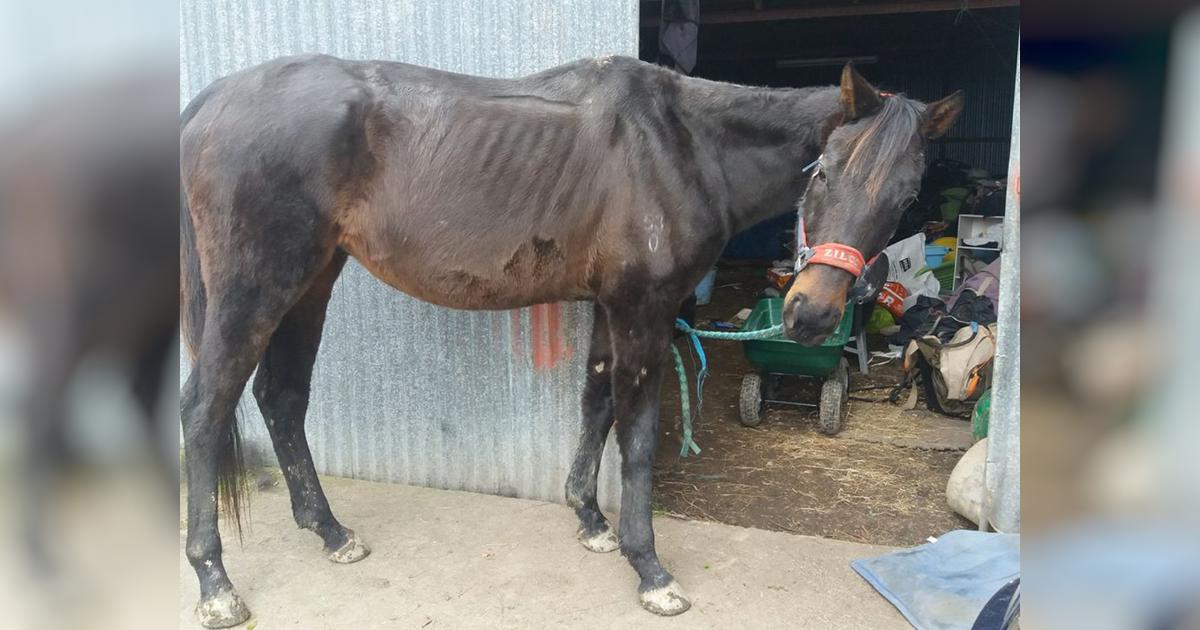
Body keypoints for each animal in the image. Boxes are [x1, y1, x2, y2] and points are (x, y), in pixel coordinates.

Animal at [180, 53, 962, 627]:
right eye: (824, 172)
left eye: (906, 197)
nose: (809, 318)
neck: (682, 145)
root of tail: (213, 100)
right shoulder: (645, 309)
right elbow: (638, 433)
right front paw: (649, 568)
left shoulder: (608, 307)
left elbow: (595, 403)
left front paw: (589, 519)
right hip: (258, 285)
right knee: (205, 408)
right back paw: (215, 583)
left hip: (312, 279)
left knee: (281, 396)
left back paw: (332, 533)